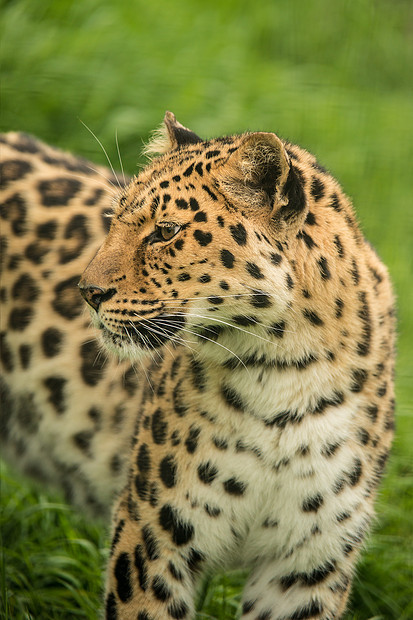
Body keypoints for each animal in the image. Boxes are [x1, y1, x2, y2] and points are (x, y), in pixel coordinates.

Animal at [0, 112, 394, 620]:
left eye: (166, 232)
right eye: (113, 219)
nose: (86, 292)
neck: (284, 373)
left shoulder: (310, 563)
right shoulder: (151, 536)